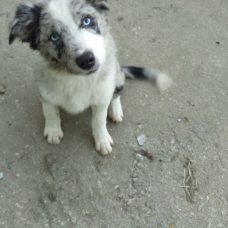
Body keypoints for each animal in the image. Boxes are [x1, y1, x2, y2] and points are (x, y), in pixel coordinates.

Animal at [9, 0, 173, 155]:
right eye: (54, 37)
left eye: (87, 20)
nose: (86, 60)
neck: (76, 79)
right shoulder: (45, 93)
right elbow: (50, 112)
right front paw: (53, 131)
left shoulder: (101, 97)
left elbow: (98, 121)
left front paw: (102, 140)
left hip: (116, 74)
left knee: (116, 94)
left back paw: (115, 110)